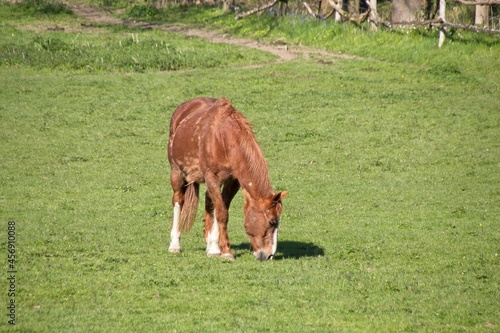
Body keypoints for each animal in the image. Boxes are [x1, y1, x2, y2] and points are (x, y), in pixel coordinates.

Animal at [167, 96, 288, 260]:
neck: (223, 139)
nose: (269, 255)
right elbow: (222, 213)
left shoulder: (233, 181)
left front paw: (215, 247)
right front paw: (226, 252)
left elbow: (222, 208)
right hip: (177, 173)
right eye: (272, 221)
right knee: (178, 201)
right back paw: (175, 245)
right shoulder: (212, 177)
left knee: (209, 201)